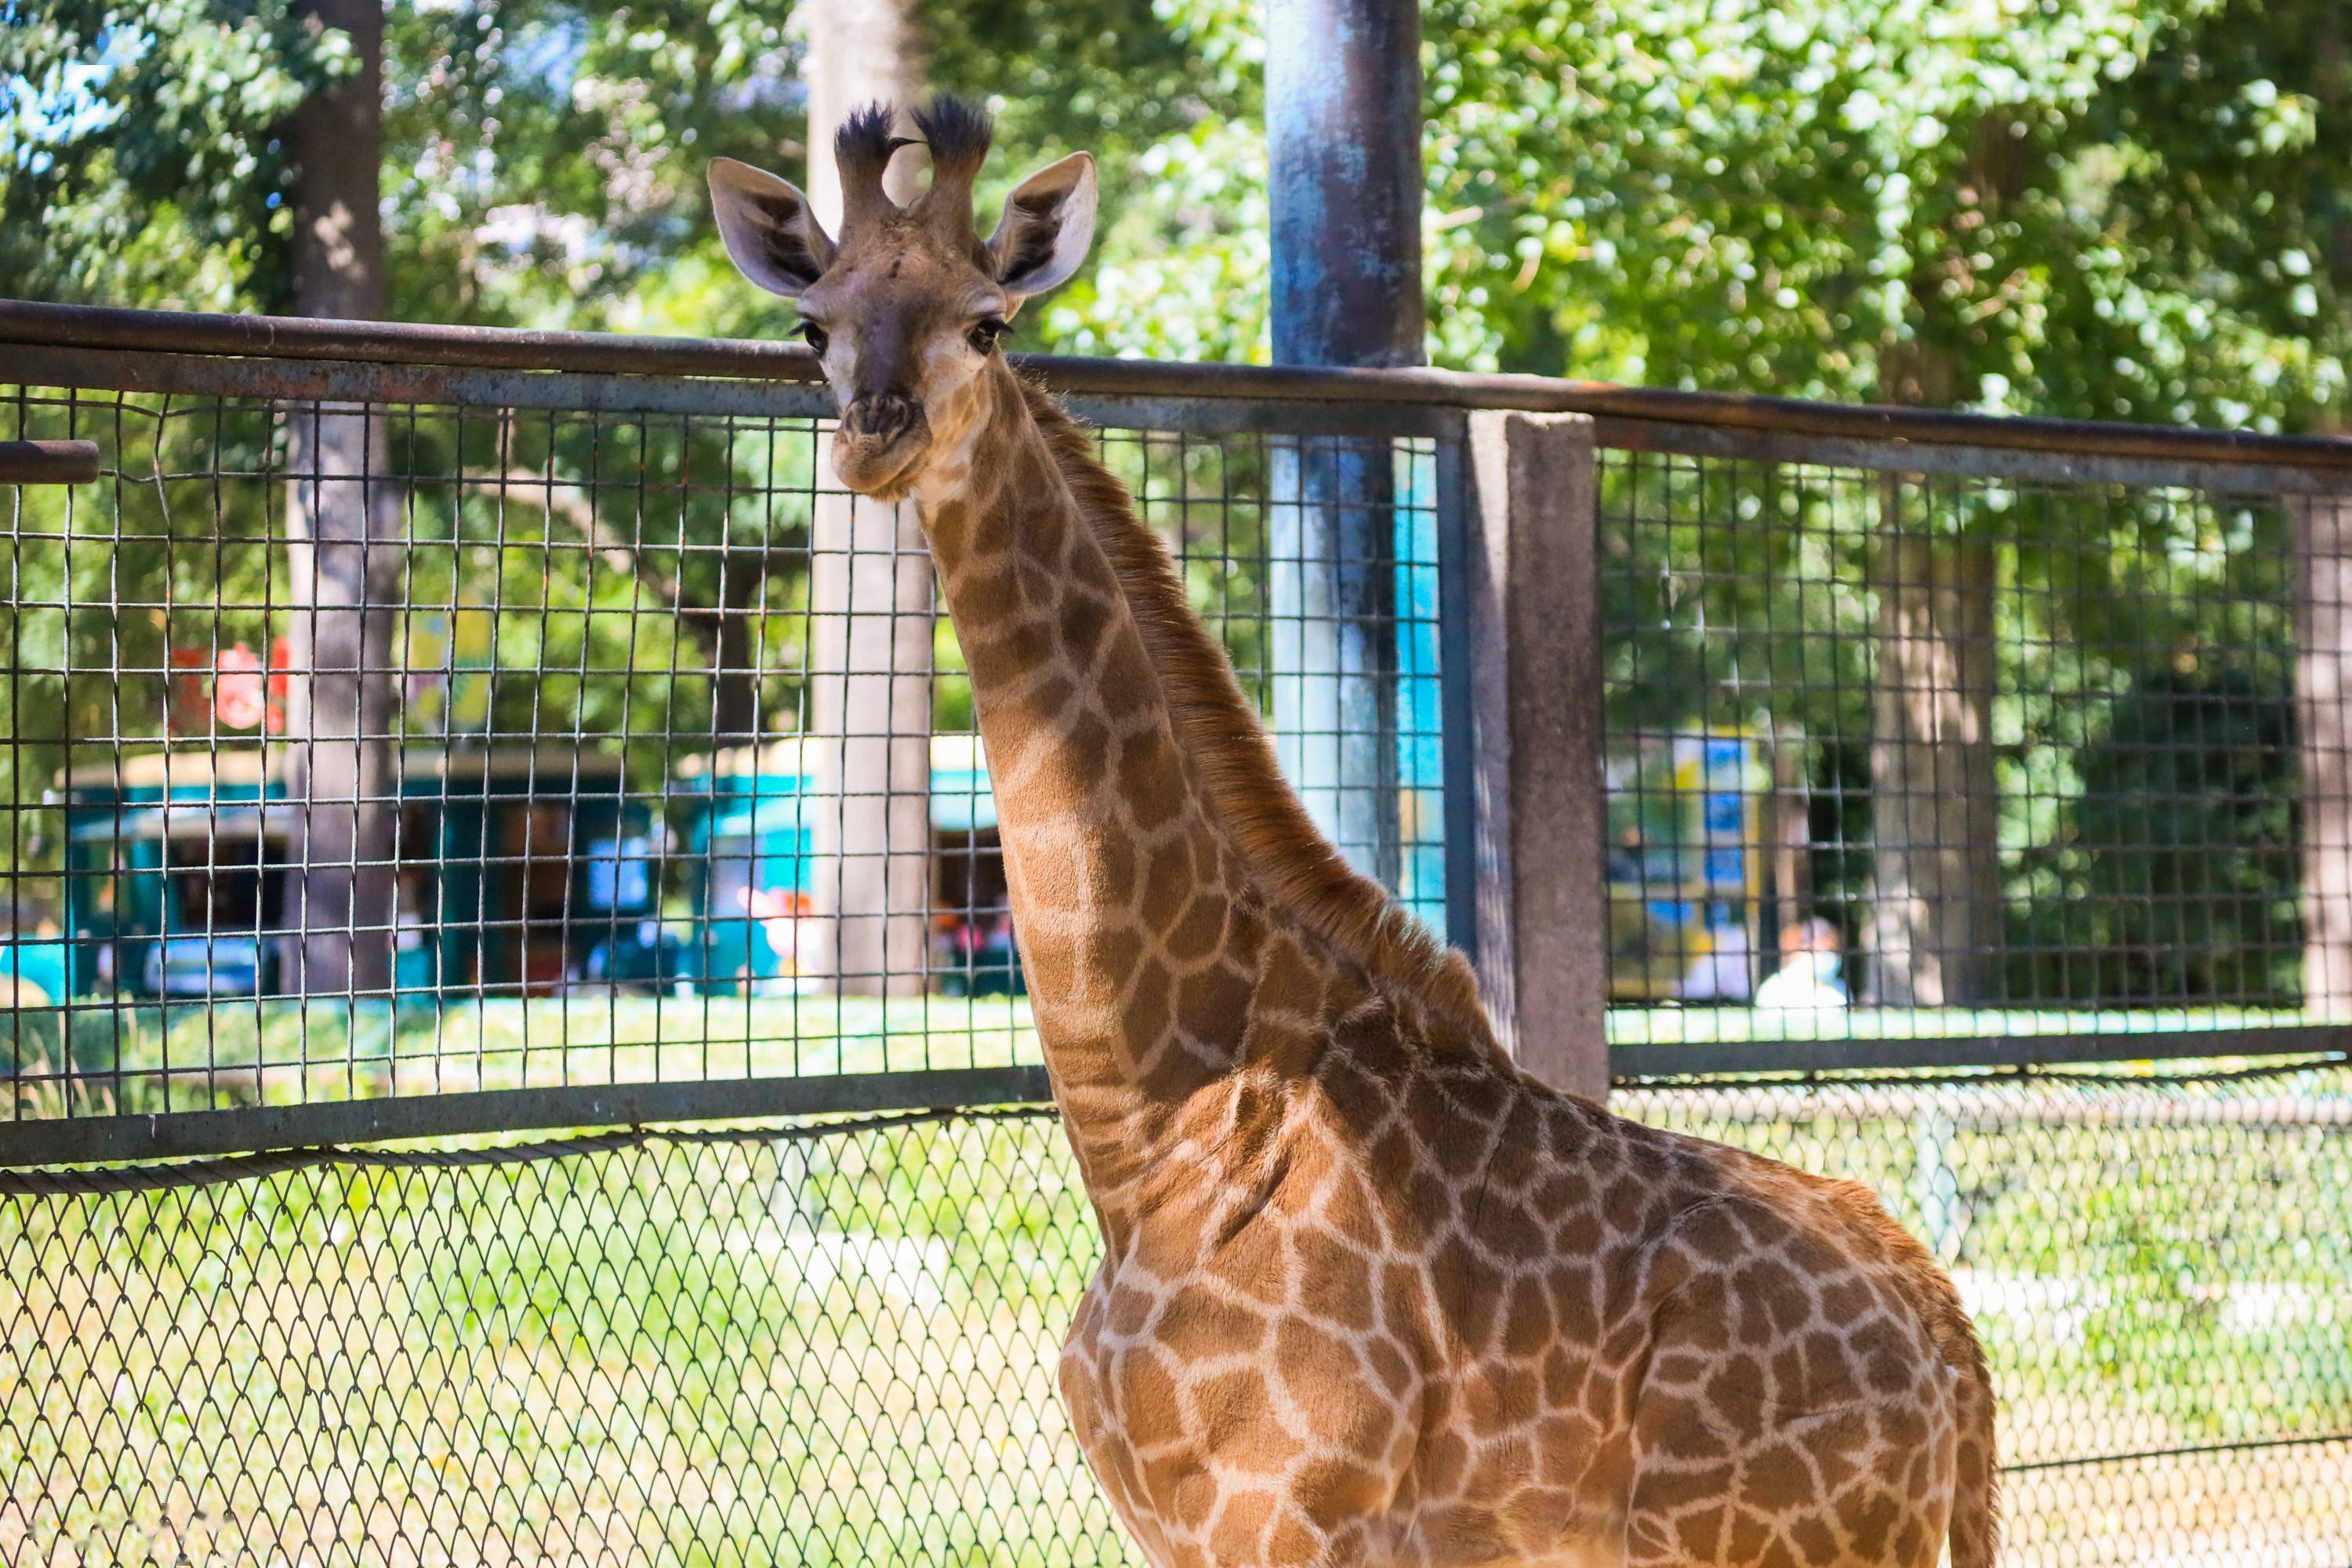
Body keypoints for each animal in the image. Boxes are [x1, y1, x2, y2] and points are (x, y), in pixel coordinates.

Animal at [706, 98, 1994, 1568]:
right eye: (813, 326)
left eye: (988, 323)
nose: (875, 436)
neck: (1154, 1123)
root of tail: (1952, 1353)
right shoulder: (1179, 1531)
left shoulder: (1281, 1522)